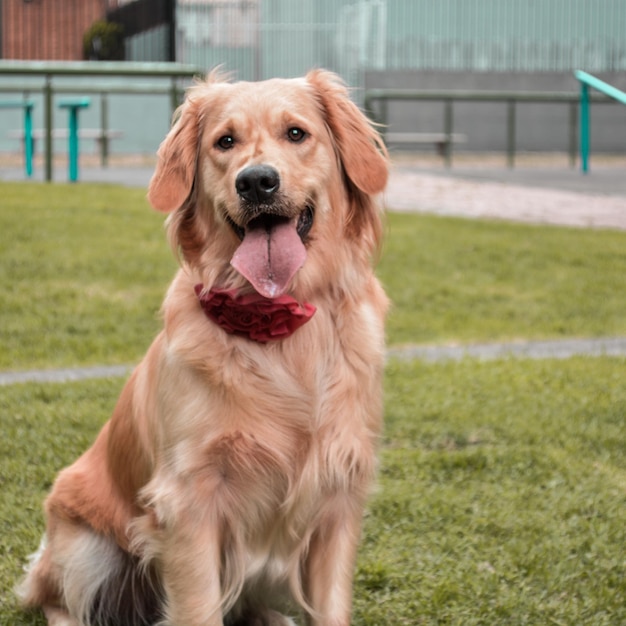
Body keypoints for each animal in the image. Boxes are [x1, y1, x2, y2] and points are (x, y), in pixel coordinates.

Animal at [17, 69, 388, 624]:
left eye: (296, 133)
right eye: (225, 142)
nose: (256, 181)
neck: (277, 326)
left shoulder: (337, 495)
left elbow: (330, 610)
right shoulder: (188, 501)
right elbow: (198, 609)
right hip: (83, 546)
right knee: (58, 600)